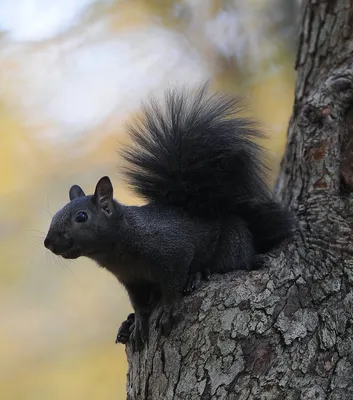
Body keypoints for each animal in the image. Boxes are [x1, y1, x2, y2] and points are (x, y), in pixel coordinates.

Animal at [44, 83, 292, 350]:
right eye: (54, 216)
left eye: (81, 217)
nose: (48, 242)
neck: (122, 245)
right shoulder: (132, 280)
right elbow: (139, 305)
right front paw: (139, 323)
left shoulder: (174, 251)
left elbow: (173, 285)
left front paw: (167, 310)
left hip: (232, 246)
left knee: (233, 265)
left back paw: (200, 274)